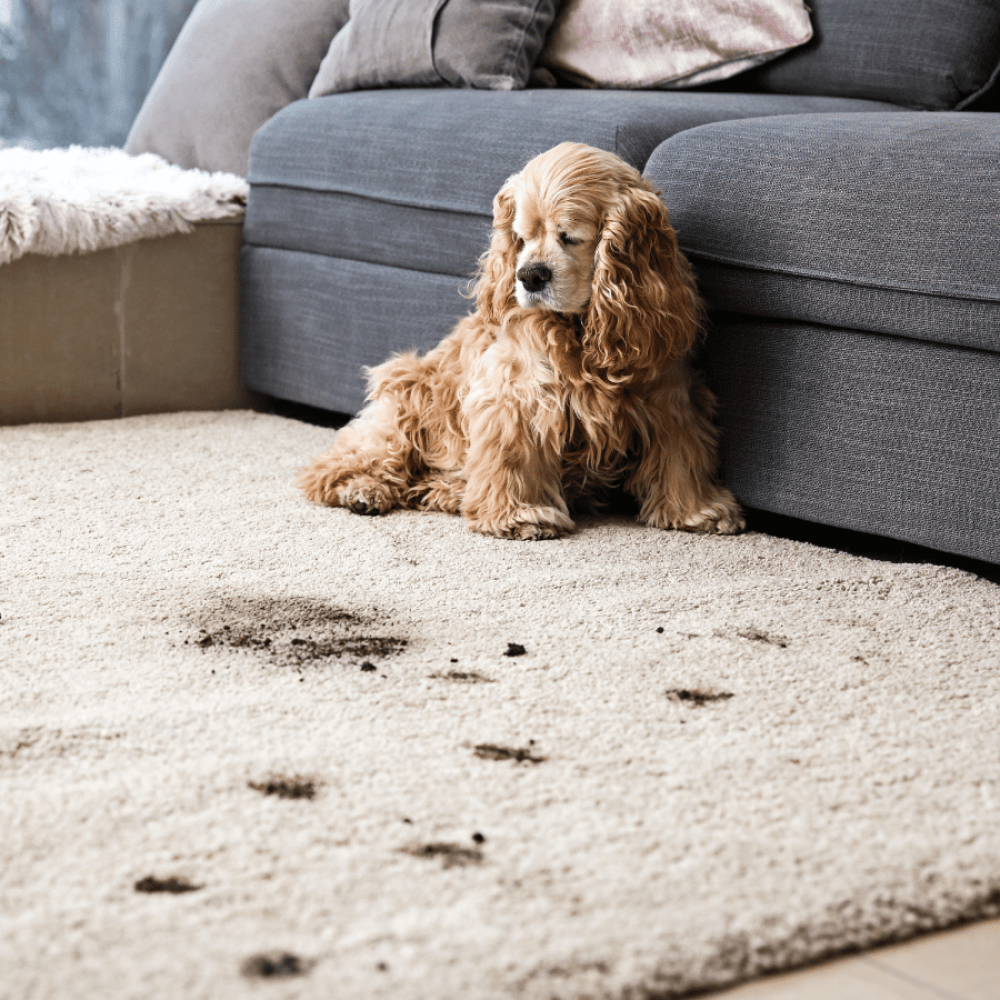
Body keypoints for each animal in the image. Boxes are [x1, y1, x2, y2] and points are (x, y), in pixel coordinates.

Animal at [300, 141, 748, 540]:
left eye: (569, 236)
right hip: (406, 399)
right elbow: (513, 456)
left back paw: (448, 492)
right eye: (522, 236)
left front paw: (696, 511)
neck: (580, 330)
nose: (530, 275)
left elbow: (681, 456)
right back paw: (362, 489)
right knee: (340, 462)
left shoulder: (669, 395)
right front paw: (519, 516)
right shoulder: (515, 394)